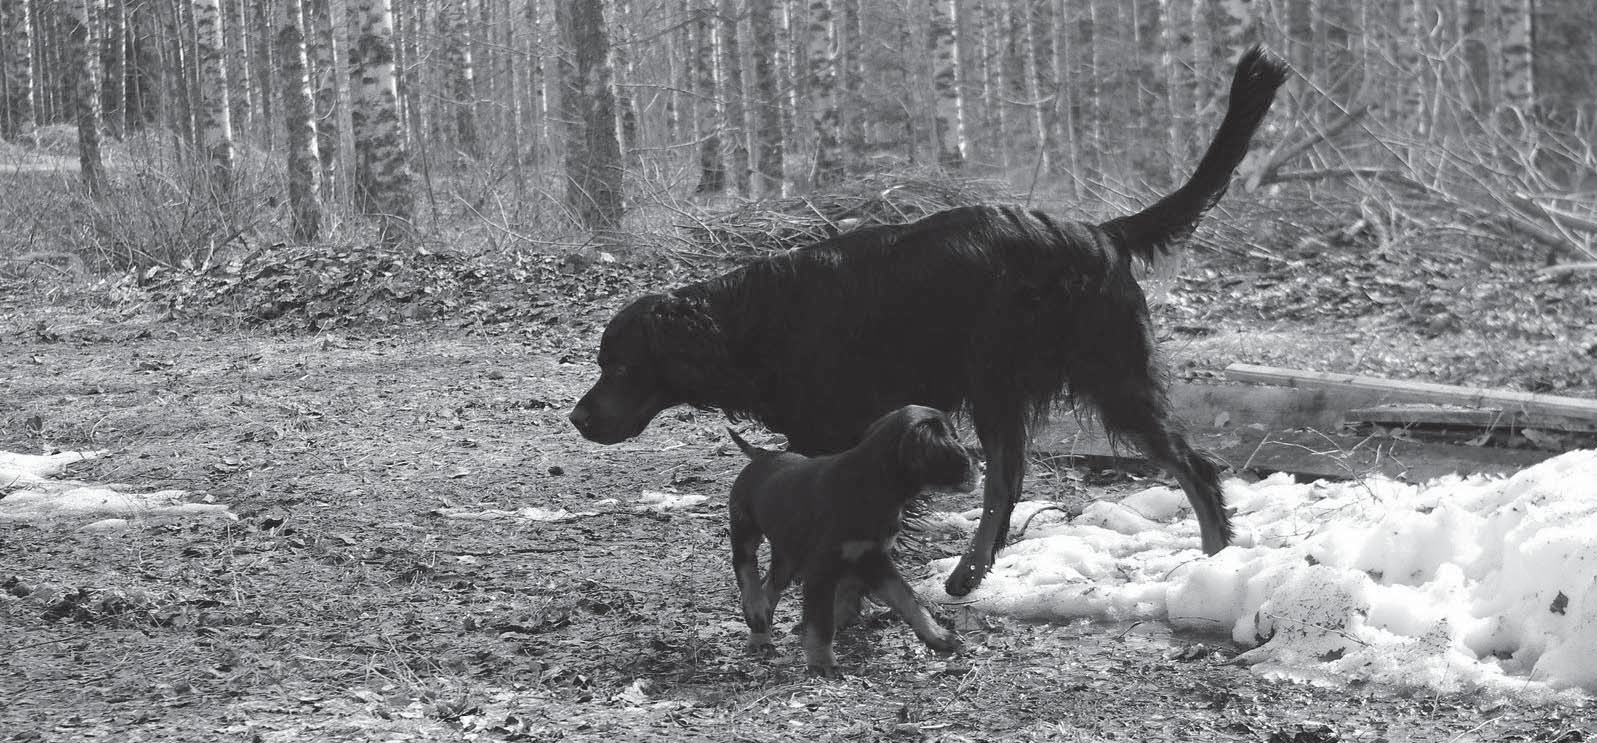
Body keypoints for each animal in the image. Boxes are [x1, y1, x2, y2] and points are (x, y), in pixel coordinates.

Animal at [568, 46, 1290, 594]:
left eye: (621, 366)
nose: (577, 417)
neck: (754, 322)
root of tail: (1097, 233)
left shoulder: (840, 430)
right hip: (1009, 383)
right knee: (1009, 481)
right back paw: (972, 571)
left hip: (1085, 375)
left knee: (1185, 467)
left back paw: (1214, 559)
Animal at [728, 402, 970, 674]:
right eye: (954, 438)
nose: (978, 466)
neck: (871, 484)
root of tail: (763, 455)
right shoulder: (821, 569)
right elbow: (820, 622)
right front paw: (823, 663)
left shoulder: (875, 559)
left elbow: (909, 600)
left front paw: (938, 636)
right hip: (744, 528)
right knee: (745, 568)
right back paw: (755, 609)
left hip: (787, 552)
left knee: (771, 585)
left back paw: (760, 633)